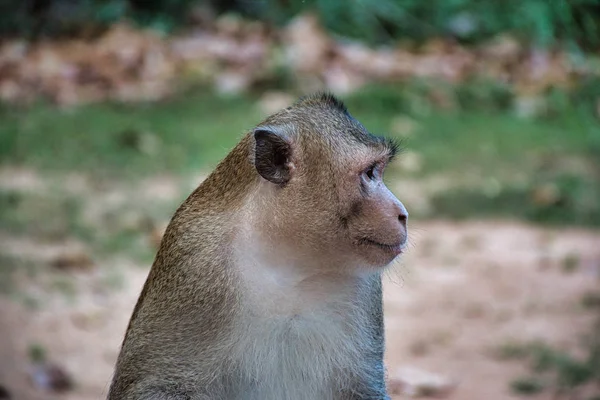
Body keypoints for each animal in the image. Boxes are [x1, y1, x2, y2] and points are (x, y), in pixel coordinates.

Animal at [108, 92, 408, 398]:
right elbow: (156, 383)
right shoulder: (192, 261)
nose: (402, 214)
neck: (290, 262)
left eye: (377, 171)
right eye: (369, 172)